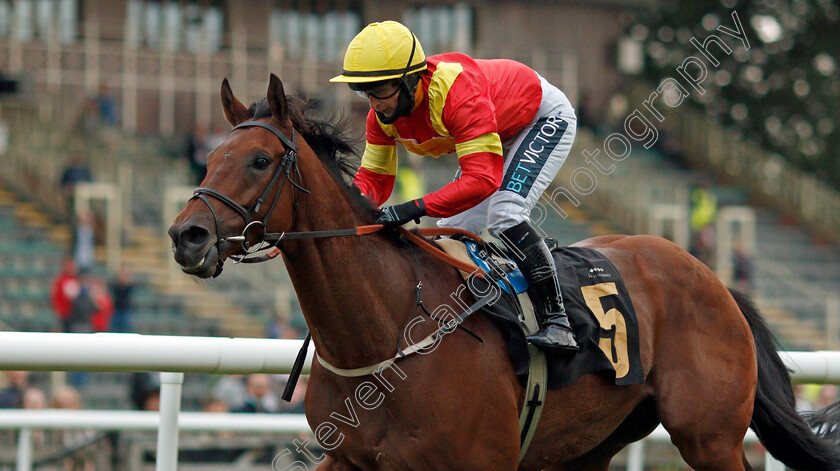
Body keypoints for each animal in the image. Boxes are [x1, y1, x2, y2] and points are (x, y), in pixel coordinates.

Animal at [169, 75, 840, 470]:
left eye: (259, 160)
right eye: (211, 155)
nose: (186, 236)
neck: (389, 329)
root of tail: (716, 280)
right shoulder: (350, 459)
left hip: (710, 436)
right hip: (590, 446)